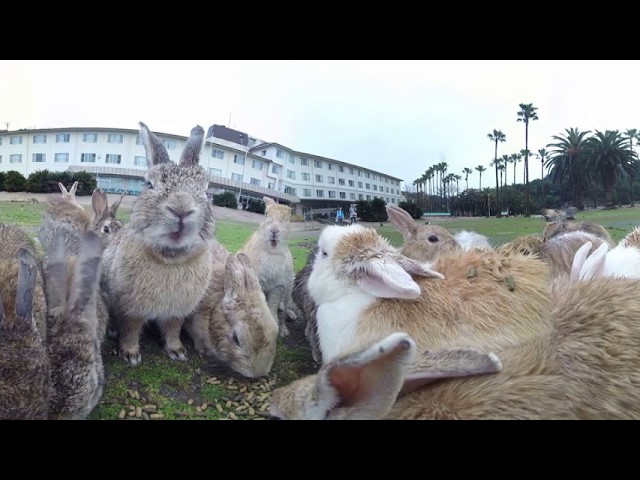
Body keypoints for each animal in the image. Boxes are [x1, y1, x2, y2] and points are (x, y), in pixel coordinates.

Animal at [101, 122, 217, 366]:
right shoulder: (131, 308)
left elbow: (173, 329)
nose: (181, 209)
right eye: (149, 184)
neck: (170, 257)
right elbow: (131, 329)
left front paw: (177, 351)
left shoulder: (177, 310)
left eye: (205, 190)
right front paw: (131, 355)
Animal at [239, 196, 296, 337]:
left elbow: (273, 305)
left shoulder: (278, 287)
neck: (271, 251)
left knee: (284, 306)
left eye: (288, 218)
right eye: (266, 214)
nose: (274, 231)